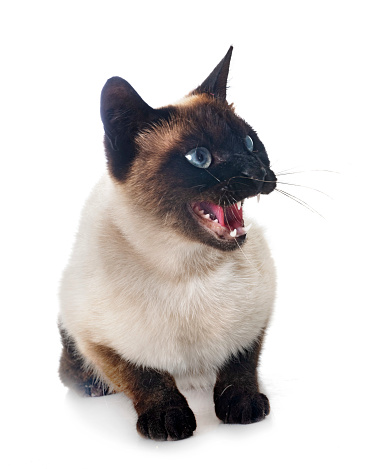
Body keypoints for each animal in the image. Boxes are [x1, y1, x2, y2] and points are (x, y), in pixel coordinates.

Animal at [58, 46, 276, 438]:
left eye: (250, 144)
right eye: (199, 158)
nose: (258, 174)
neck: (188, 268)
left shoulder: (260, 311)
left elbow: (241, 362)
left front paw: (242, 405)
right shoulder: (95, 337)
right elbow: (143, 376)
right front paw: (168, 418)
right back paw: (90, 385)